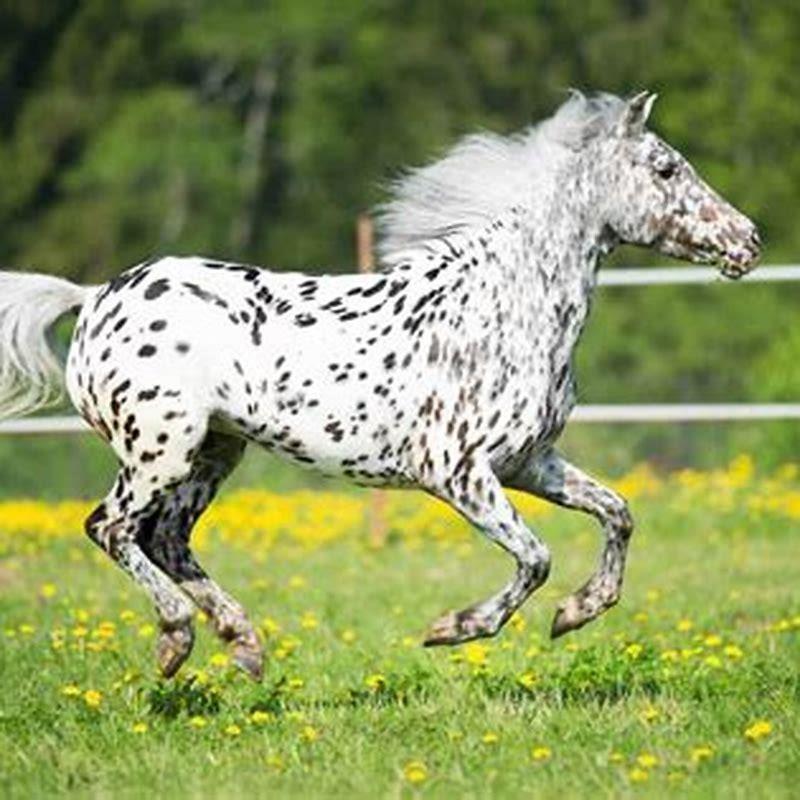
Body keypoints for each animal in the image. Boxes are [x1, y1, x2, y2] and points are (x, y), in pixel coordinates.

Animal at [0, 91, 760, 680]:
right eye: (665, 168)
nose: (748, 241)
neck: (501, 306)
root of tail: (95, 297)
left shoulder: (528, 463)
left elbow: (618, 513)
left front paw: (577, 614)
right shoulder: (455, 472)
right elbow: (536, 557)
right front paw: (453, 628)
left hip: (215, 451)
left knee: (168, 539)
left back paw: (245, 645)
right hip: (160, 449)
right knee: (112, 527)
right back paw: (176, 639)